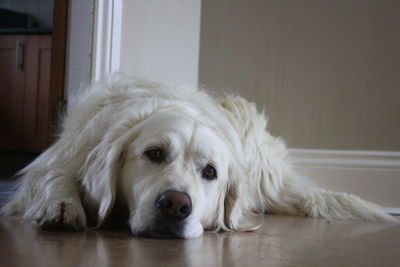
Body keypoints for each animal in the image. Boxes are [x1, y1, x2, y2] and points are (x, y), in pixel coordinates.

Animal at [0, 75, 396, 239]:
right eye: (154, 154)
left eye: (210, 172)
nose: (176, 205)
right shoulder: (63, 156)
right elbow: (55, 177)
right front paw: (62, 205)